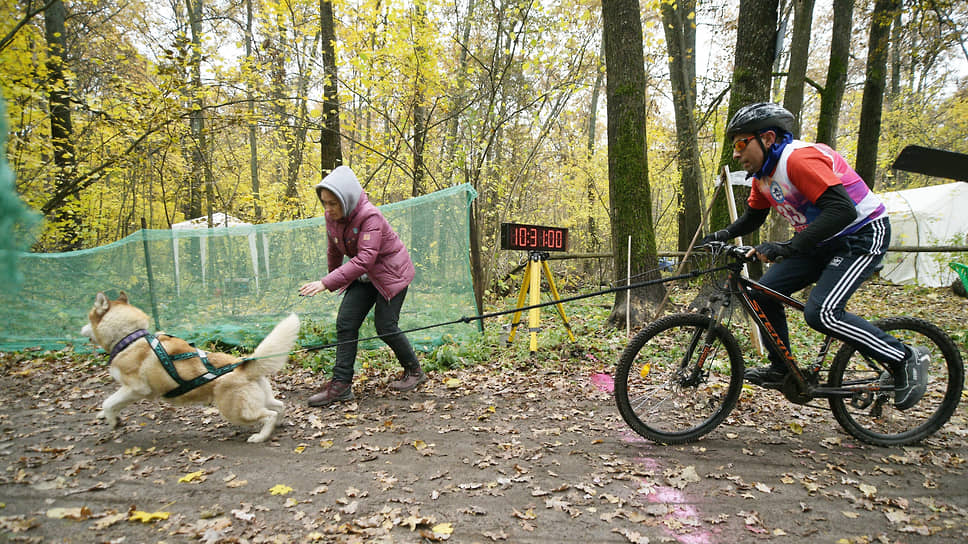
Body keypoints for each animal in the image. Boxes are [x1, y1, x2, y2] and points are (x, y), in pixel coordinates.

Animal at [83, 294, 298, 442]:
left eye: (89, 318)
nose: (80, 330)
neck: (130, 338)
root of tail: (245, 364)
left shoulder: (135, 389)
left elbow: (108, 402)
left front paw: (112, 421)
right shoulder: (129, 391)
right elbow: (112, 404)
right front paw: (111, 418)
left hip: (235, 412)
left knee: (268, 415)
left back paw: (260, 436)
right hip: (262, 399)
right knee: (279, 407)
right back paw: (278, 423)